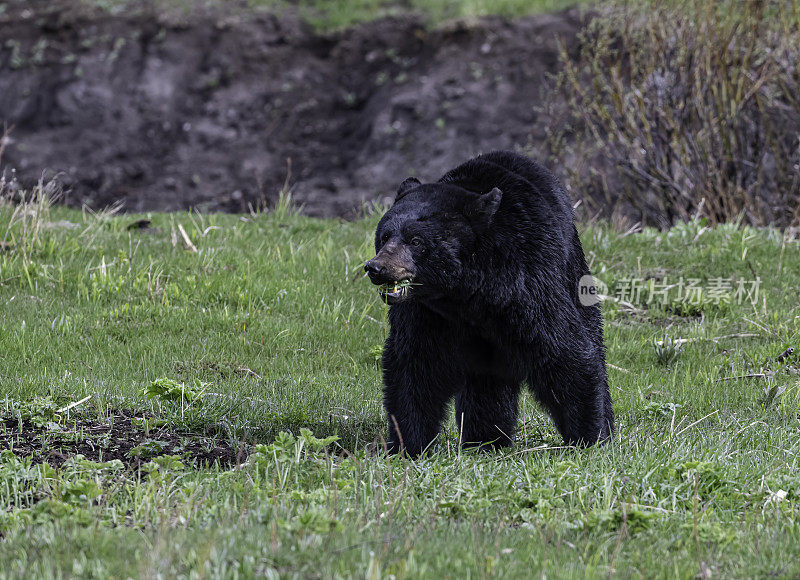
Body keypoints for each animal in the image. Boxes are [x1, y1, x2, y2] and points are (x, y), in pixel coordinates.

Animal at [366, 151, 616, 458]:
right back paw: (485, 440)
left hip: (572, 269)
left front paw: (591, 437)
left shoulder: (527, 281)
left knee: (590, 331)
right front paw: (407, 445)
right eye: (385, 235)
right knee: (486, 381)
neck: (468, 293)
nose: (376, 267)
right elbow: (414, 363)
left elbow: (563, 349)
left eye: (416, 240)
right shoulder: (426, 312)